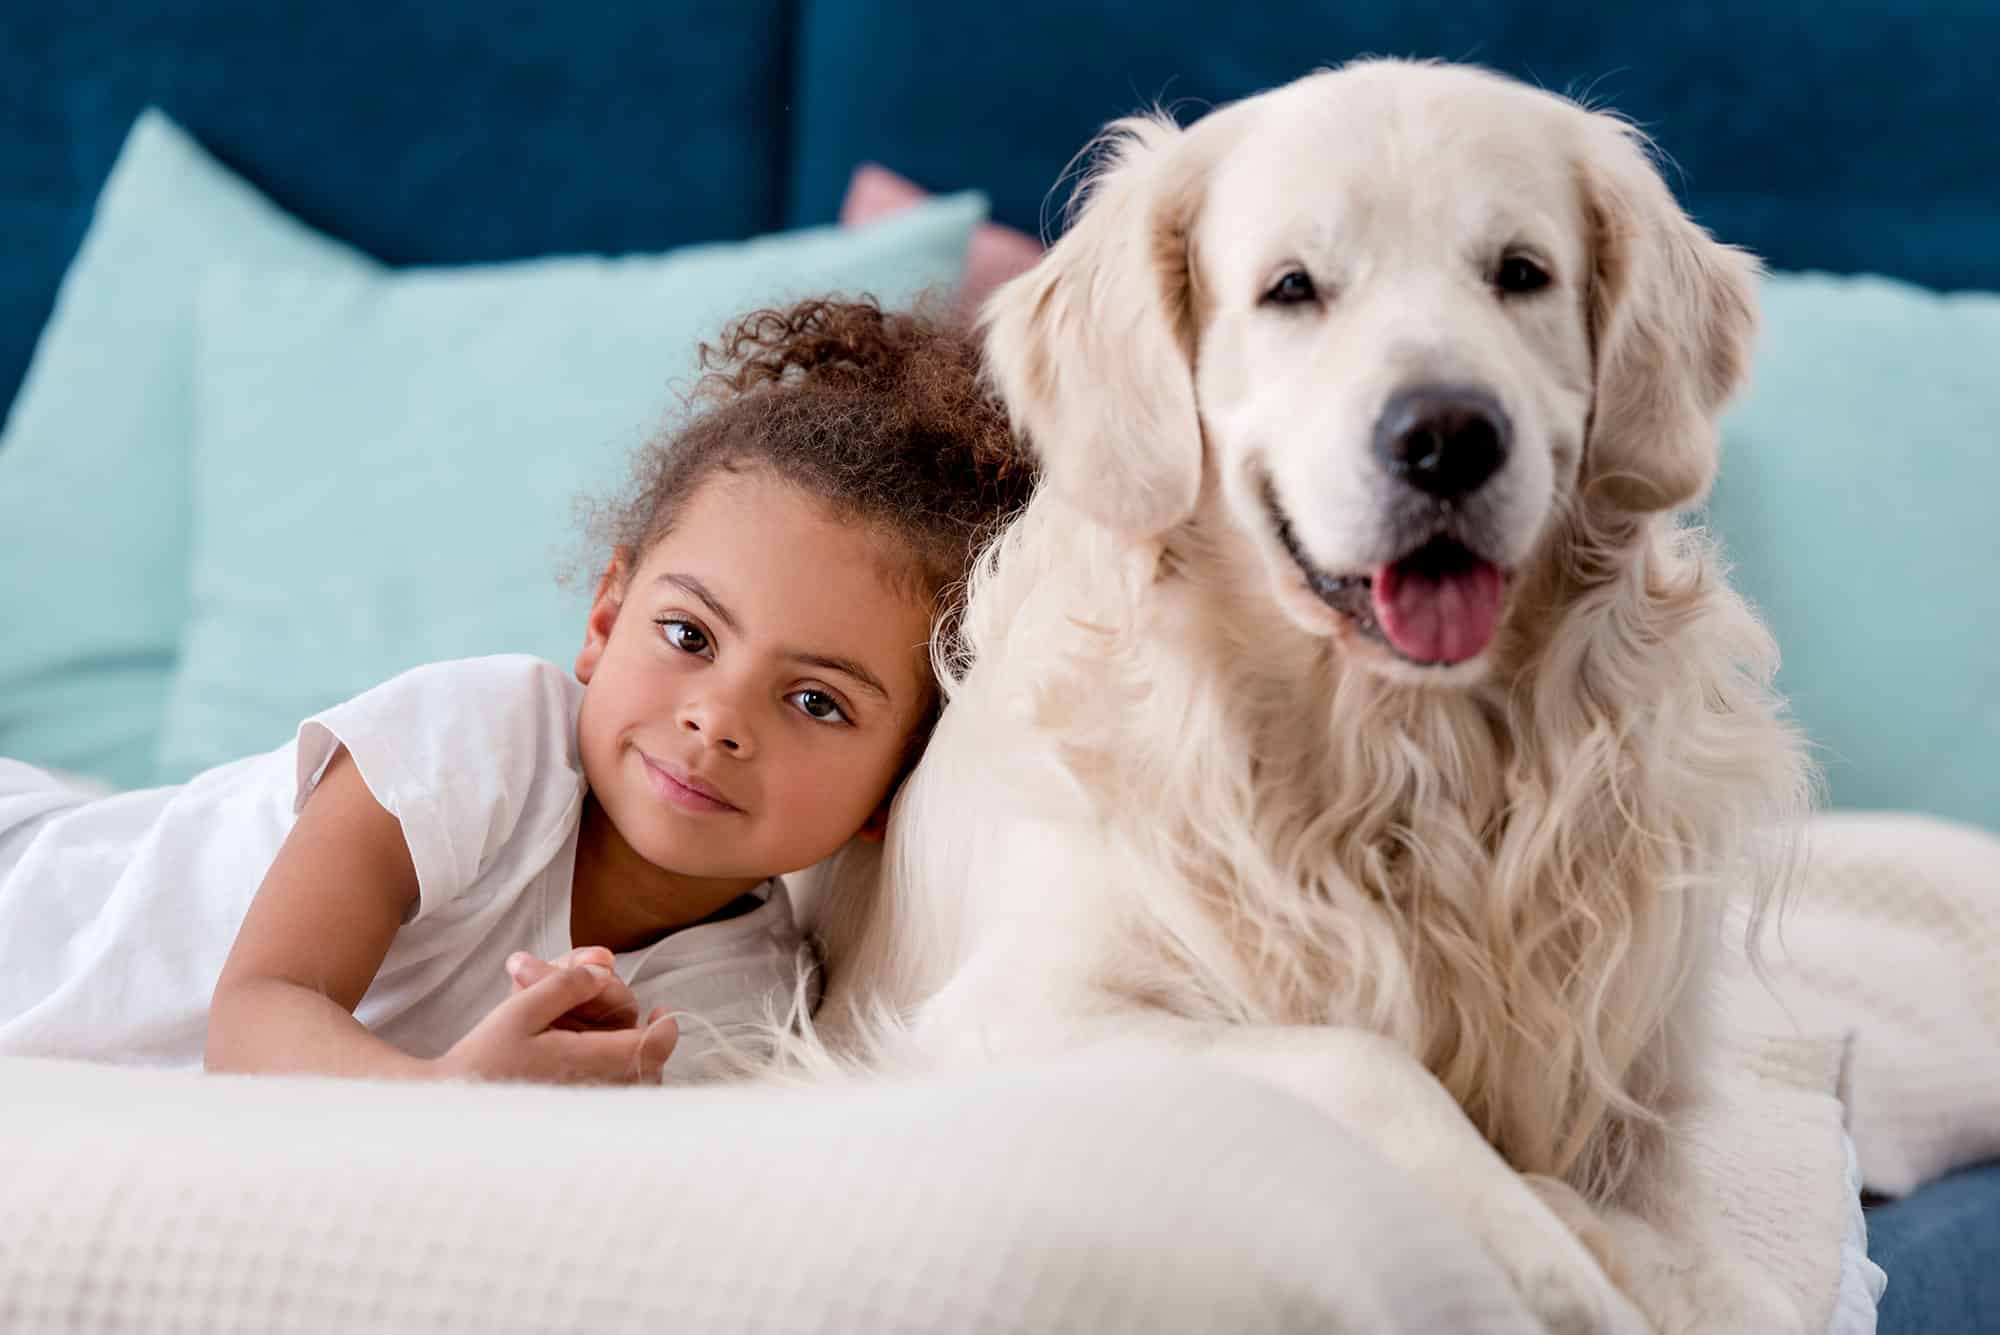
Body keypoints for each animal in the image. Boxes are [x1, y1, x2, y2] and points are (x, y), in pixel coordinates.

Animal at [796, 64, 1816, 1335]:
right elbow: (1354, 1060)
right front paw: (1553, 1259)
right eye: (1291, 288)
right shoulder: (1007, 1012)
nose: (1447, 436)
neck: (1400, 756)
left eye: (1520, 272)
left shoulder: (1634, 1100)